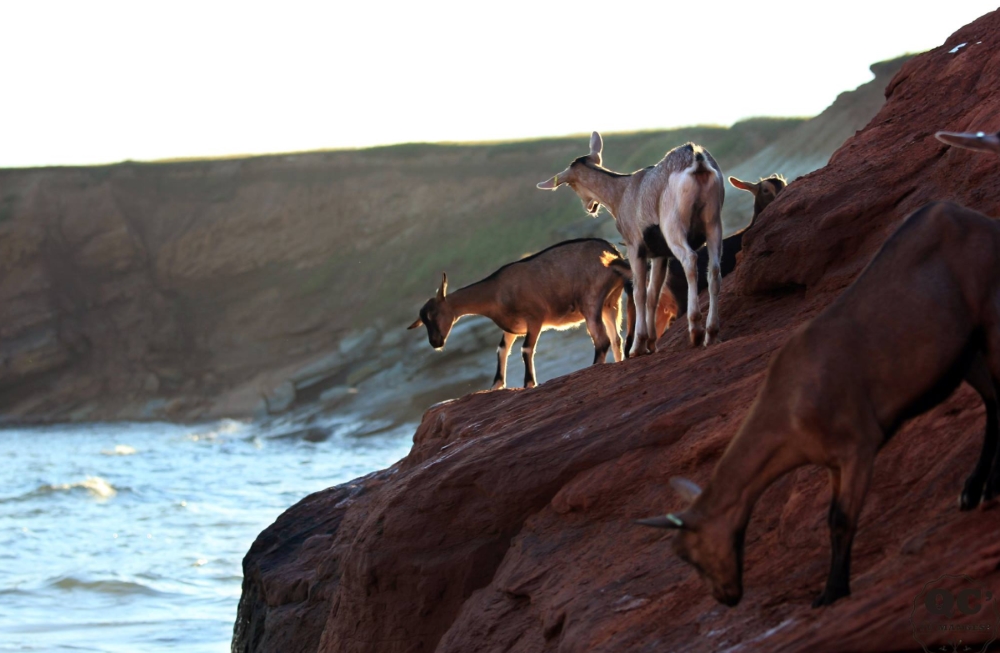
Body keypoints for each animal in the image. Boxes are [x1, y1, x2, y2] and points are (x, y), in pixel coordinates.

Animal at [406, 239, 632, 392]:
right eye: (423, 321)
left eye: (435, 314)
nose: (436, 342)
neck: (495, 292)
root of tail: (613, 253)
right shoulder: (511, 327)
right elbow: (502, 349)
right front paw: (496, 385)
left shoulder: (535, 318)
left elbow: (526, 349)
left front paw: (529, 383)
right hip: (610, 304)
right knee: (615, 339)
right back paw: (618, 362)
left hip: (591, 302)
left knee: (601, 339)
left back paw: (593, 367)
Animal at [540, 131, 728, 352]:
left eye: (571, 184)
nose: (589, 207)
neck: (623, 191)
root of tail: (696, 158)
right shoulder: (660, 255)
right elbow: (653, 294)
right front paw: (652, 343)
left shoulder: (635, 248)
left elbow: (640, 294)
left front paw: (639, 345)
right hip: (713, 224)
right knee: (714, 271)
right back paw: (712, 333)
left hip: (674, 228)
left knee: (690, 260)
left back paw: (696, 331)